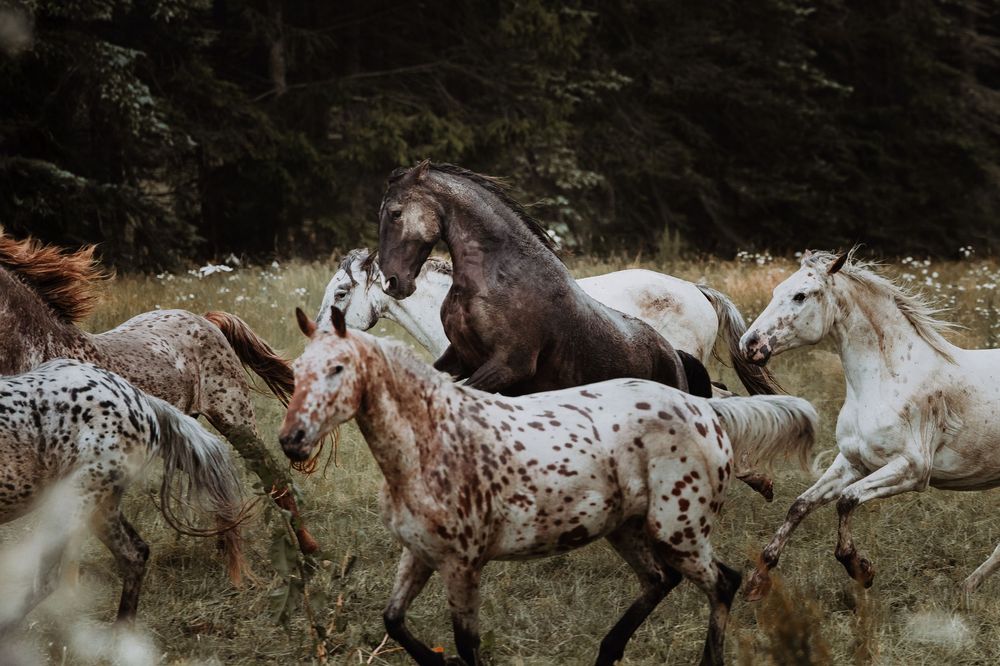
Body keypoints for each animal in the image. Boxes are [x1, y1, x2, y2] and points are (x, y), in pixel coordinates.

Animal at [0, 359, 246, 633]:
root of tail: (143, 401)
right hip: (101, 506)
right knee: (134, 554)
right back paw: (121, 635)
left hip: (72, 500)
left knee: (46, 581)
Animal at [278, 306, 817, 665]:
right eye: (298, 371)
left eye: (338, 369)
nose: (291, 441)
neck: (433, 439)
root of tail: (706, 411)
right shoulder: (420, 552)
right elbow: (393, 621)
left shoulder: (463, 564)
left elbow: (467, 645)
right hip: (627, 530)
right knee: (660, 581)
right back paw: (606, 653)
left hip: (678, 530)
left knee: (723, 582)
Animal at [375, 160, 714, 399]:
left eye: (395, 213)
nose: (391, 281)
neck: (497, 278)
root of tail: (675, 356)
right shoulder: (459, 358)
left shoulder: (509, 365)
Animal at [739, 249, 1000, 599]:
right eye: (776, 290)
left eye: (800, 295)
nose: (750, 345)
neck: (885, 380)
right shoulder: (853, 461)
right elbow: (800, 505)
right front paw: (756, 580)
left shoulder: (912, 470)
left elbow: (847, 500)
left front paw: (860, 568)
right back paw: (968, 585)